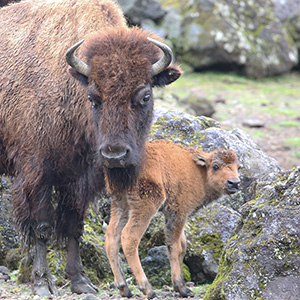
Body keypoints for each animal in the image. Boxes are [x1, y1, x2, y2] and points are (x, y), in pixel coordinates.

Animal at [0, 0, 180, 296]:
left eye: (145, 95)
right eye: (93, 97)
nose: (115, 154)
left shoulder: (81, 179)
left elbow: (74, 226)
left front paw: (80, 281)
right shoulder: (36, 174)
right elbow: (42, 227)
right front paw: (42, 282)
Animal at [104, 140, 240, 298]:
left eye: (239, 167)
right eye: (215, 166)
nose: (234, 183)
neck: (200, 171)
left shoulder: (173, 216)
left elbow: (183, 245)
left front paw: (183, 286)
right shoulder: (178, 212)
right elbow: (175, 246)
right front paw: (181, 288)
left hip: (120, 204)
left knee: (112, 235)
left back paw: (124, 288)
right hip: (146, 205)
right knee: (129, 237)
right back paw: (148, 289)